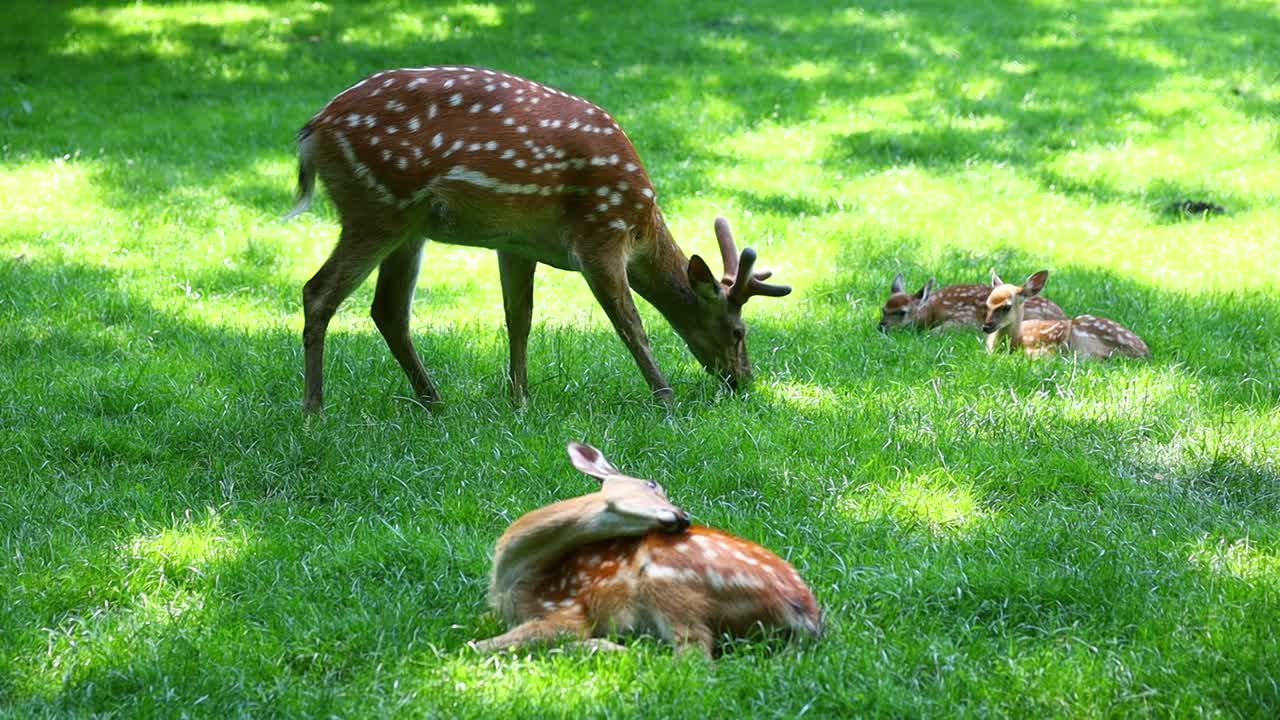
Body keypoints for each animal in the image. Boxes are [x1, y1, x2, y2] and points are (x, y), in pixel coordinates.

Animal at [288, 64, 788, 412]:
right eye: (739, 331)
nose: (744, 381)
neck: (641, 225)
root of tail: (312, 131)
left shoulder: (515, 244)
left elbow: (519, 317)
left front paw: (520, 399)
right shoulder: (600, 235)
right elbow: (630, 324)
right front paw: (665, 397)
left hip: (409, 226)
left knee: (388, 309)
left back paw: (435, 401)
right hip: (377, 204)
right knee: (319, 291)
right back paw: (315, 410)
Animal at [476, 440, 824, 653]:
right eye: (653, 483)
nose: (683, 516)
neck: (515, 580)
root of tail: (806, 614)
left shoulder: (566, 612)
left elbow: (479, 646)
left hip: (667, 582)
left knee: (693, 655)